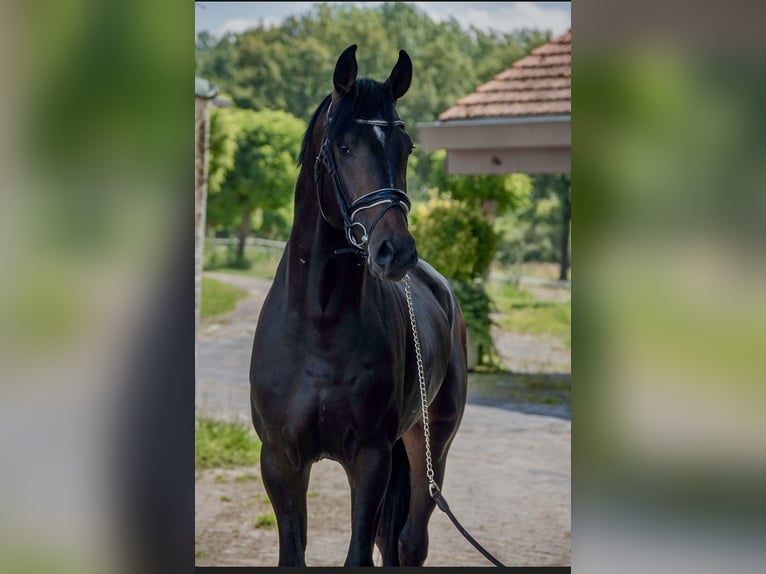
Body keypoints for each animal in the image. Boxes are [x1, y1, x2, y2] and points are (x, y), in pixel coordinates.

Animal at [252, 44, 468, 568]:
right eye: (344, 147)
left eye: (406, 148)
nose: (396, 251)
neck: (319, 322)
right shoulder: (280, 461)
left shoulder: (371, 459)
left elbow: (359, 555)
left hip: (429, 447)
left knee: (409, 543)